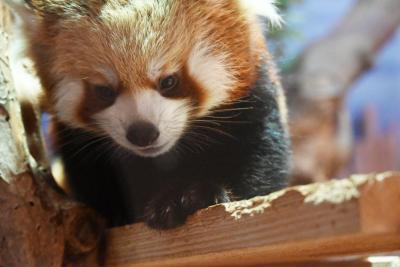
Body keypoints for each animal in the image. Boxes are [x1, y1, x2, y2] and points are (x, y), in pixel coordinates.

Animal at [7, 0, 290, 230]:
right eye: (104, 91)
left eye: (169, 81)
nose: (142, 133)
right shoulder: (78, 144)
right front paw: (121, 215)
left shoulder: (252, 100)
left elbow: (261, 159)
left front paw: (191, 197)